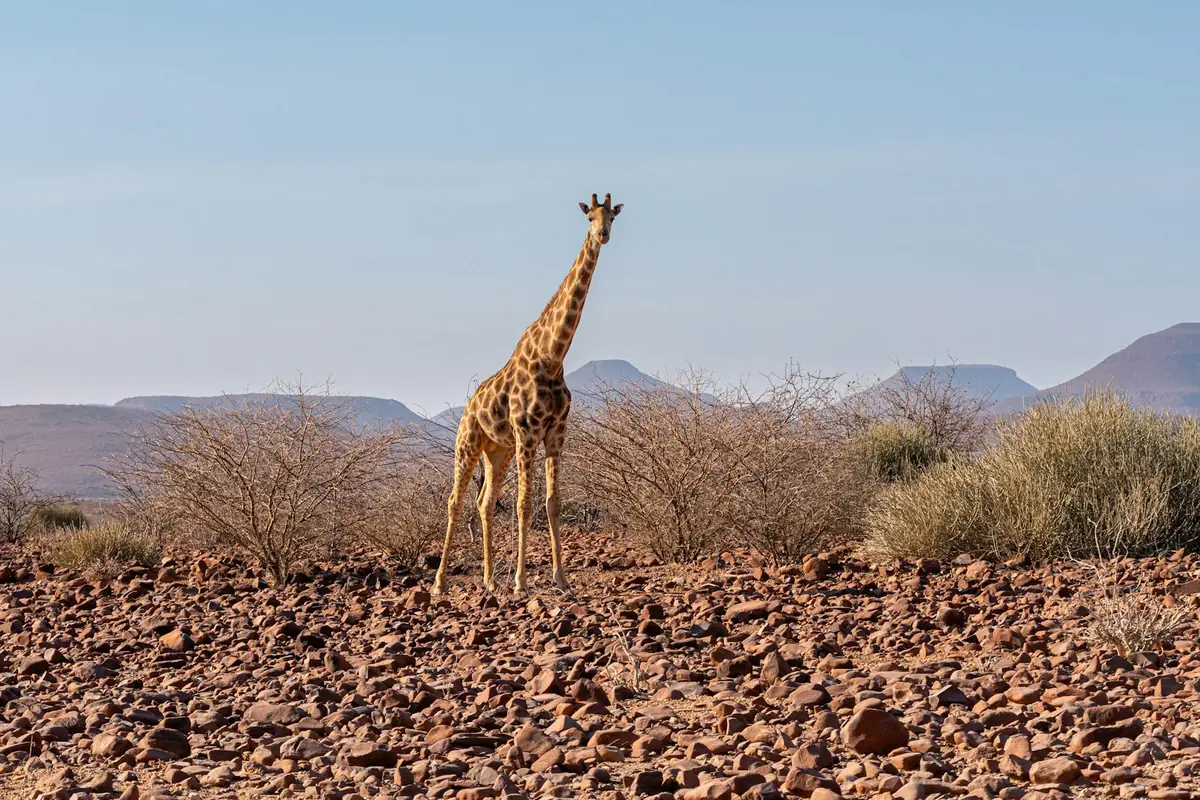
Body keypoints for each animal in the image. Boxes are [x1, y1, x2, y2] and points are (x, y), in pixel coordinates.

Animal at [433, 193, 624, 596]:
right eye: (589, 217)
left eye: (612, 217)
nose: (602, 235)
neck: (552, 357)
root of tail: (468, 407)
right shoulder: (527, 433)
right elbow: (524, 504)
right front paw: (522, 581)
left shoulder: (555, 433)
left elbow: (552, 503)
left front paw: (562, 579)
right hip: (468, 443)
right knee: (456, 501)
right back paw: (440, 583)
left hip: (497, 452)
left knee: (485, 502)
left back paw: (490, 580)